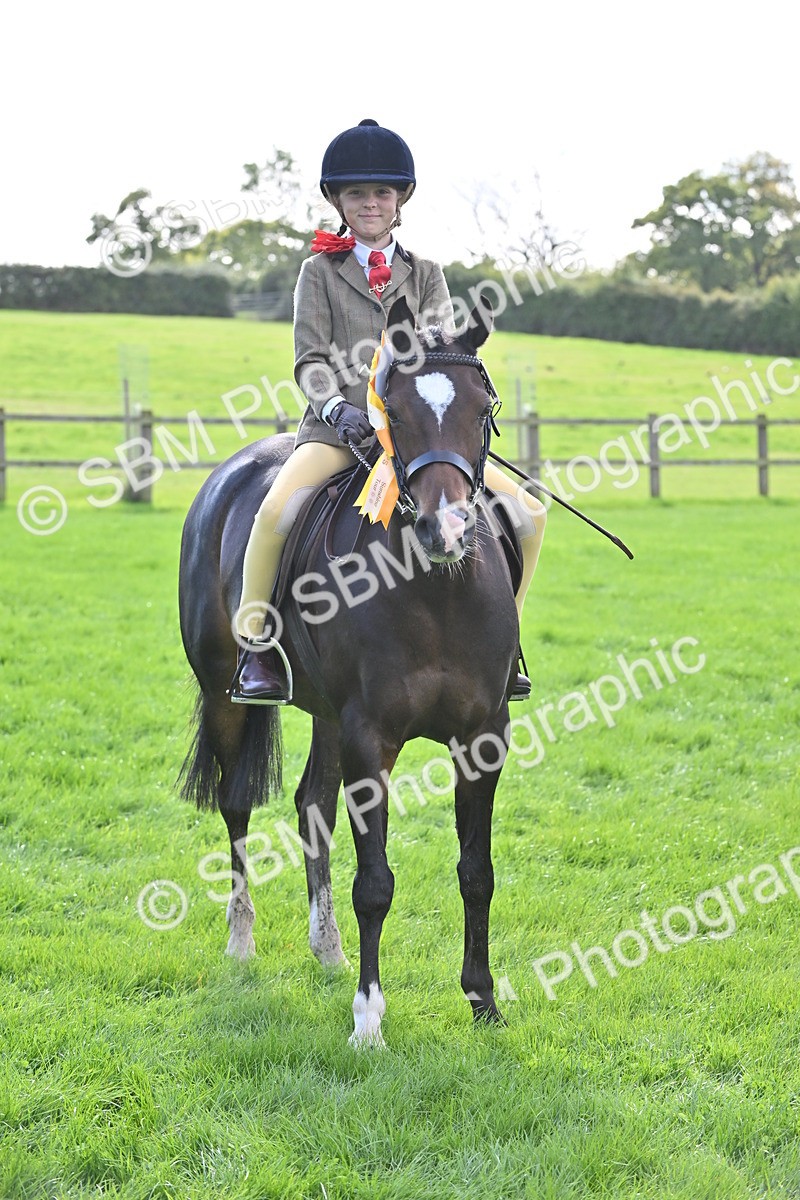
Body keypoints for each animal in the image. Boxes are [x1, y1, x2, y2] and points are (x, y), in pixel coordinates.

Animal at [177, 296, 524, 1046]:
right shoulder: (372, 738)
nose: (446, 531)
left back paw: (327, 947)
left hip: (329, 716)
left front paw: (483, 1001)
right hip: (229, 696)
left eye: (482, 410)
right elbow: (376, 883)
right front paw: (368, 1020)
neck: (435, 590)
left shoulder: (482, 738)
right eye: (393, 410)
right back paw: (242, 940)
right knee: (237, 805)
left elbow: (476, 872)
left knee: (313, 806)